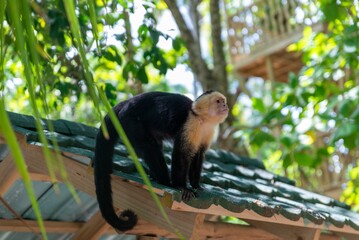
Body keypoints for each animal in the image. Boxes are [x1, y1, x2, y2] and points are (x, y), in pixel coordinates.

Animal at [94, 90, 229, 231]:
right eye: (218, 102)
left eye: (223, 101)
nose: (225, 105)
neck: (202, 119)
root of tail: (127, 102)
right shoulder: (191, 124)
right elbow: (181, 153)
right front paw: (181, 187)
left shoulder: (208, 131)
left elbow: (198, 155)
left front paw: (196, 185)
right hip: (130, 120)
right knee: (149, 146)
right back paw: (165, 181)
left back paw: (155, 177)